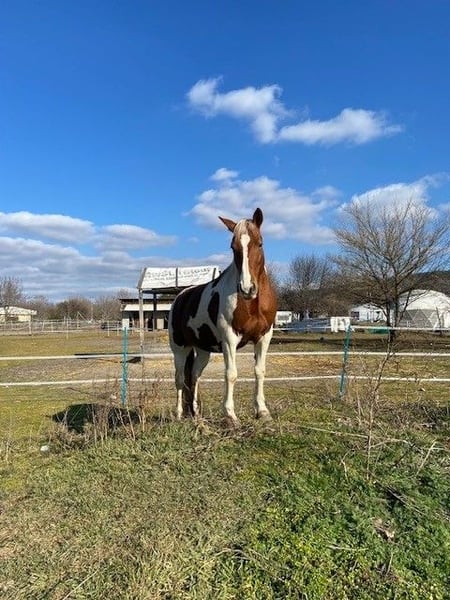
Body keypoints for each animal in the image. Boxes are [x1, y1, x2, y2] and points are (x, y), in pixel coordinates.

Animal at [168, 207, 277, 425]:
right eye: (233, 247)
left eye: (260, 243)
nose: (247, 288)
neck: (252, 303)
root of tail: (180, 297)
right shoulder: (229, 338)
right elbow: (231, 374)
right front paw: (230, 415)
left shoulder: (264, 337)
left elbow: (260, 371)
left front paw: (262, 412)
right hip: (180, 349)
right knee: (179, 379)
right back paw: (178, 414)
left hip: (202, 350)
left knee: (194, 377)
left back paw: (195, 413)